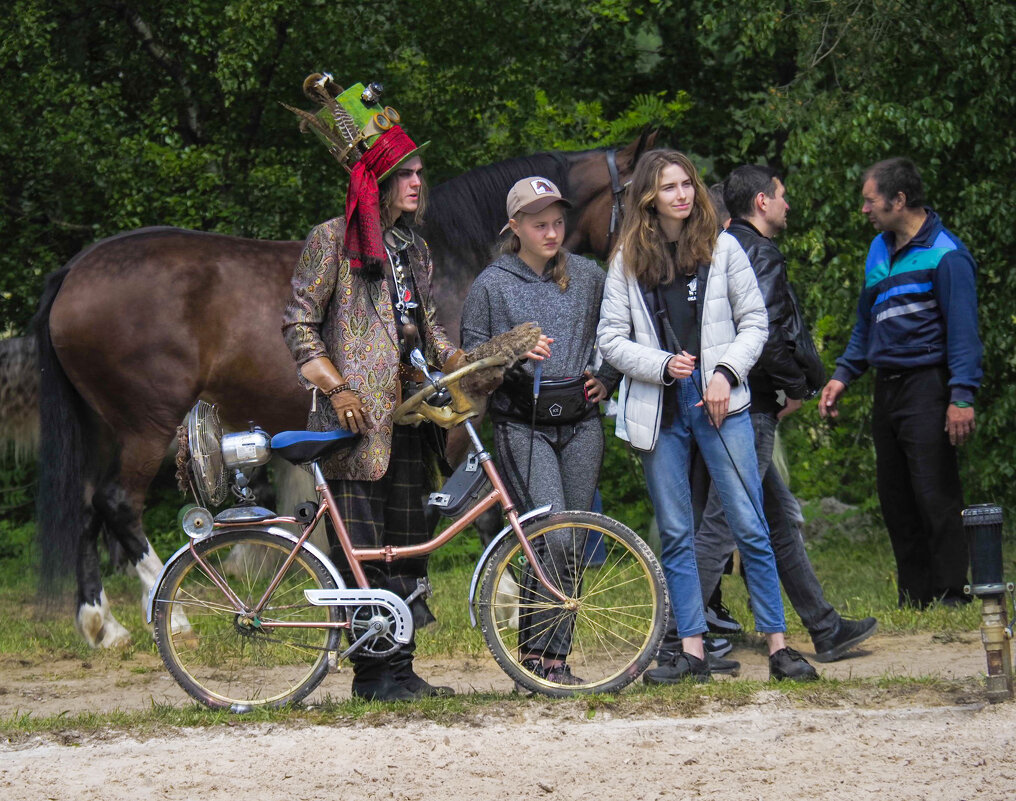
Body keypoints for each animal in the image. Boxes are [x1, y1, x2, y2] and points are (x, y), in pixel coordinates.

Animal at [35, 131, 654, 646]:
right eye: (648, 196)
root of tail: (75, 270)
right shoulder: (461, 418)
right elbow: (480, 513)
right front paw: (492, 600)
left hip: (104, 428)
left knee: (88, 508)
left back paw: (102, 624)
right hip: (147, 424)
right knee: (119, 504)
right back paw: (176, 616)